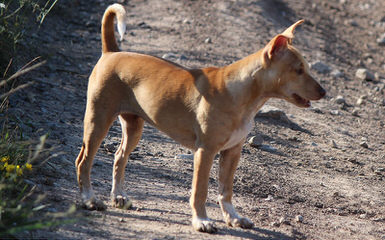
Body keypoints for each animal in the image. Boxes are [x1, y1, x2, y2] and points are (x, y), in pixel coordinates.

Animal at [75, 3, 324, 232]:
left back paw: (119, 197)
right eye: (298, 70)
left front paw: (233, 218)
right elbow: (200, 190)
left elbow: (226, 190)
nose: (324, 92)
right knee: (83, 161)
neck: (241, 93)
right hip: (98, 122)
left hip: (133, 127)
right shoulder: (205, 151)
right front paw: (201, 220)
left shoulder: (232, 152)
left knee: (119, 156)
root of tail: (111, 52)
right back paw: (89, 199)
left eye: (306, 68)